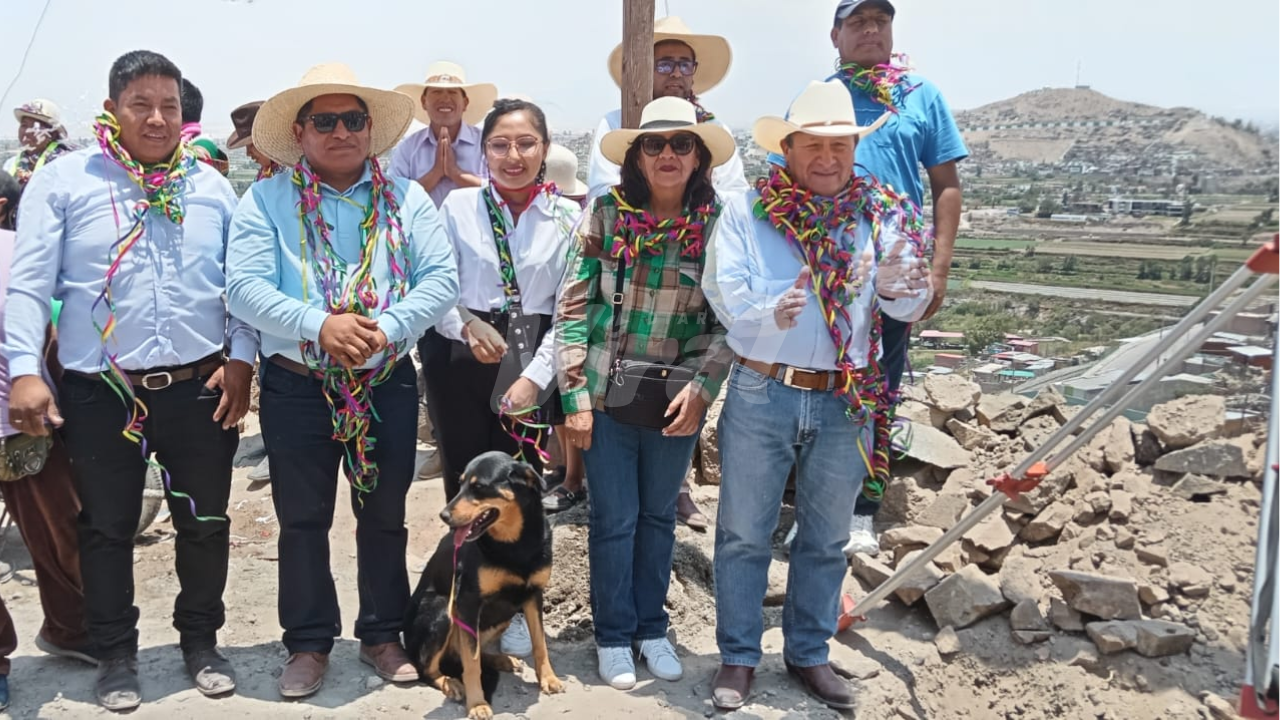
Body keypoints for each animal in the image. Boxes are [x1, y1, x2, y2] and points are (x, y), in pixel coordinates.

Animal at [405, 451, 564, 719]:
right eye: (460, 484)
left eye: (478, 487)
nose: (443, 516)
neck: (515, 543)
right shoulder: (467, 602)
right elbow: (472, 663)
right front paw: (477, 703)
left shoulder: (533, 595)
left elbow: (540, 642)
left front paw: (548, 678)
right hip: (443, 609)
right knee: (428, 668)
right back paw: (451, 682)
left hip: (504, 614)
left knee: (465, 654)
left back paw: (501, 660)